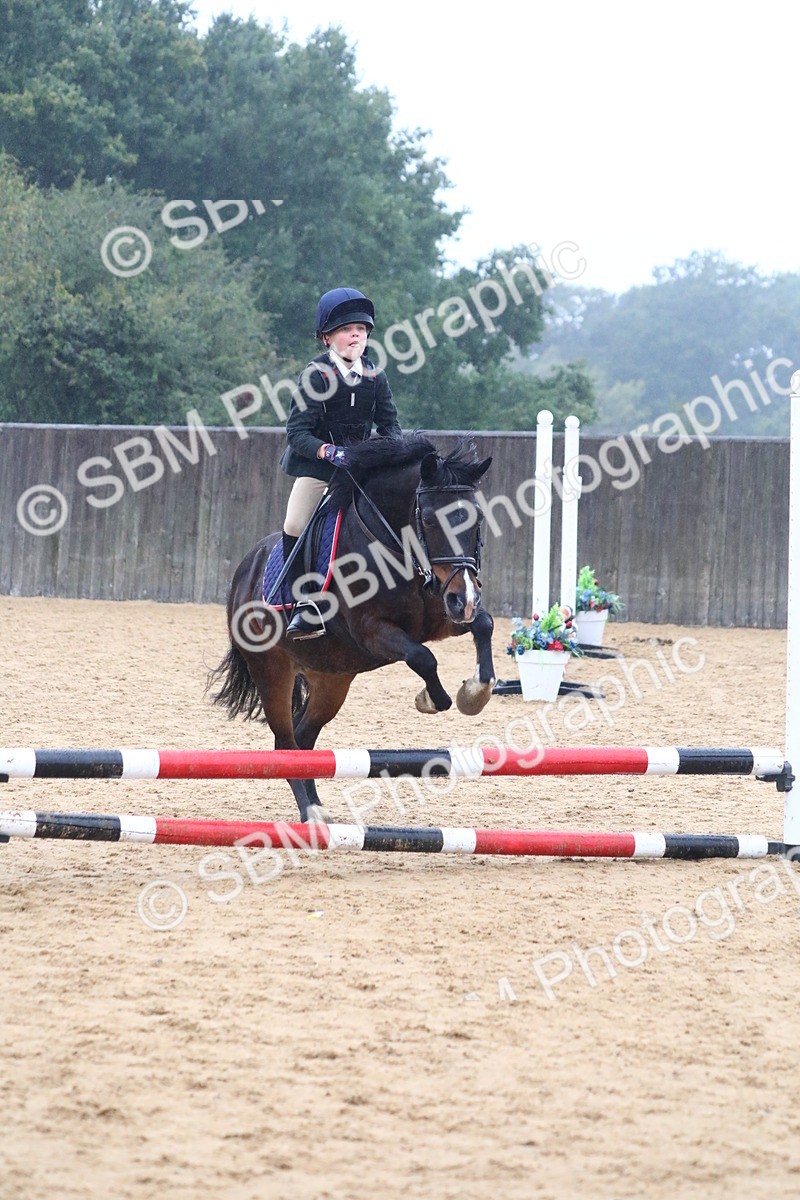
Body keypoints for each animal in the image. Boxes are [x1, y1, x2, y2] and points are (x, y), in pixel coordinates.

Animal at [207, 433, 496, 820]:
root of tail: (245, 570)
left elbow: (484, 625)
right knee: (285, 742)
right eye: (429, 519)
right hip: (272, 671)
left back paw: (315, 804)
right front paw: (430, 701)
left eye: (477, 517)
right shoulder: (371, 631)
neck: (395, 546)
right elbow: (423, 658)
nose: (464, 597)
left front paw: (474, 694)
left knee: (304, 737)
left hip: (332, 678)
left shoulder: (442, 614)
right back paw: (311, 813)